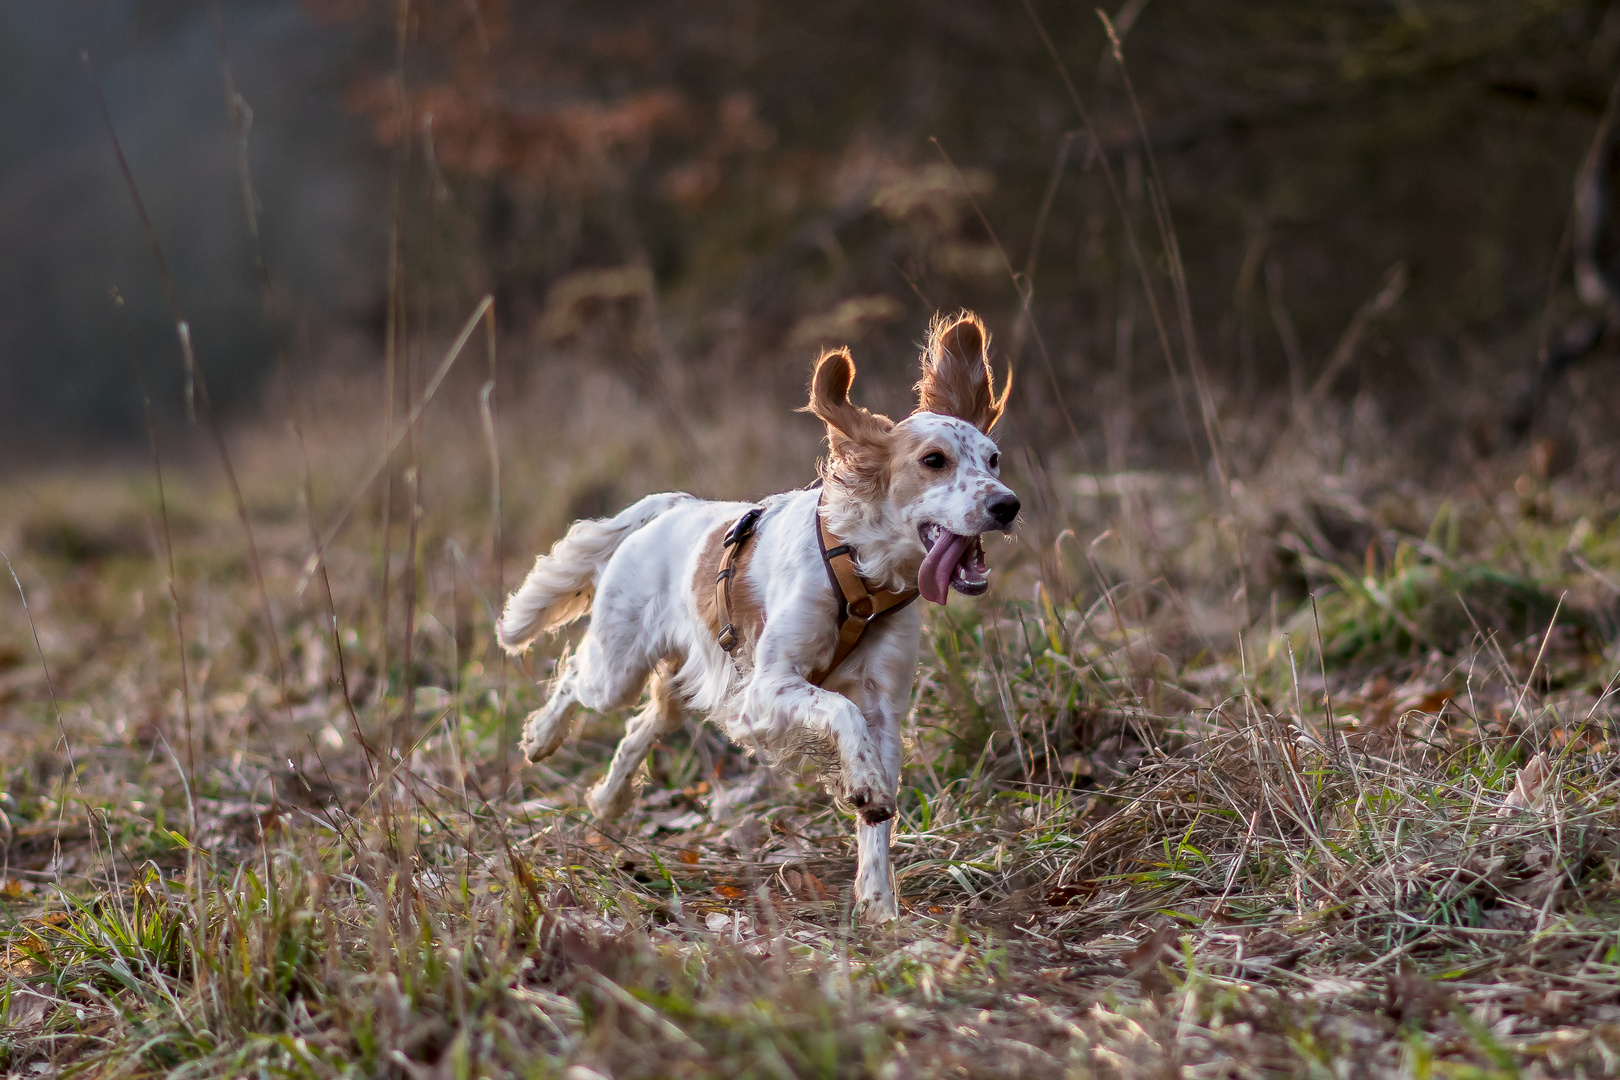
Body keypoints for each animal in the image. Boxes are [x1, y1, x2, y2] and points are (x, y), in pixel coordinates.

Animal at [498, 310, 1017, 919]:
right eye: (934, 461)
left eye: (993, 459)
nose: (1007, 504)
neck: (861, 572)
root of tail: (674, 506)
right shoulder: (768, 687)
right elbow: (840, 711)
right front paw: (862, 785)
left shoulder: (884, 707)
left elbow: (877, 815)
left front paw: (881, 906)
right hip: (617, 667)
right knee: (577, 681)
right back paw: (542, 738)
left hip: (683, 678)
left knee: (643, 724)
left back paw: (609, 797)